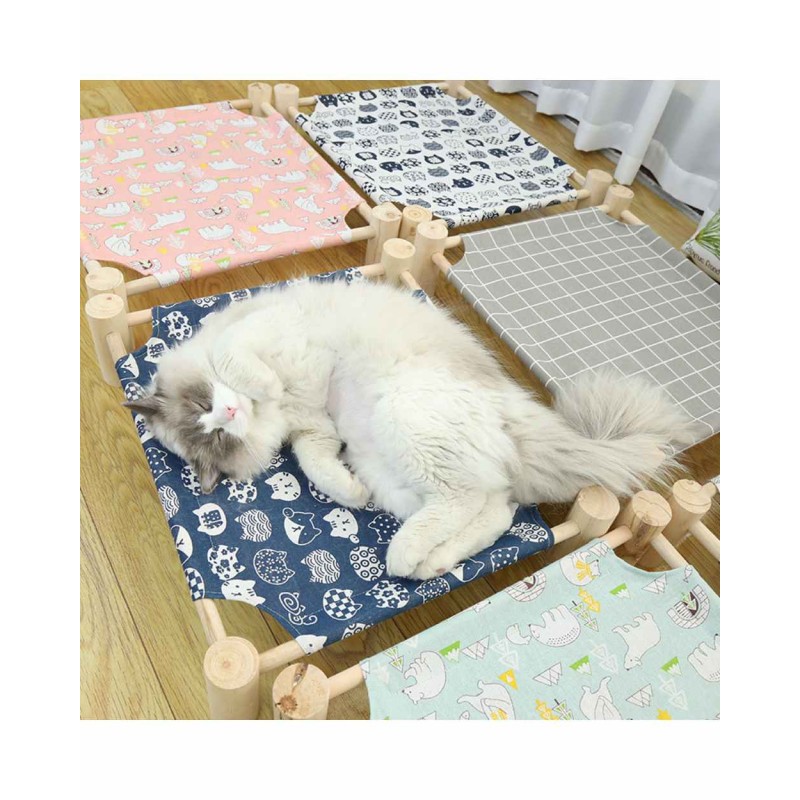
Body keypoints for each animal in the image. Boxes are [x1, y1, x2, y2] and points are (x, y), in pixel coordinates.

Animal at [125, 279, 696, 580]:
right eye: (214, 438)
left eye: (206, 406)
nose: (228, 416)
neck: (279, 411)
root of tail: (511, 410)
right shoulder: (316, 431)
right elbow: (320, 467)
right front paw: (348, 494)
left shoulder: (262, 335)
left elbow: (237, 356)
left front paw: (260, 382)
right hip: (392, 471)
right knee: (493, 509)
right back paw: (424, 563)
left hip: (405, 422)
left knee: (476, 503)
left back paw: (404, 560)